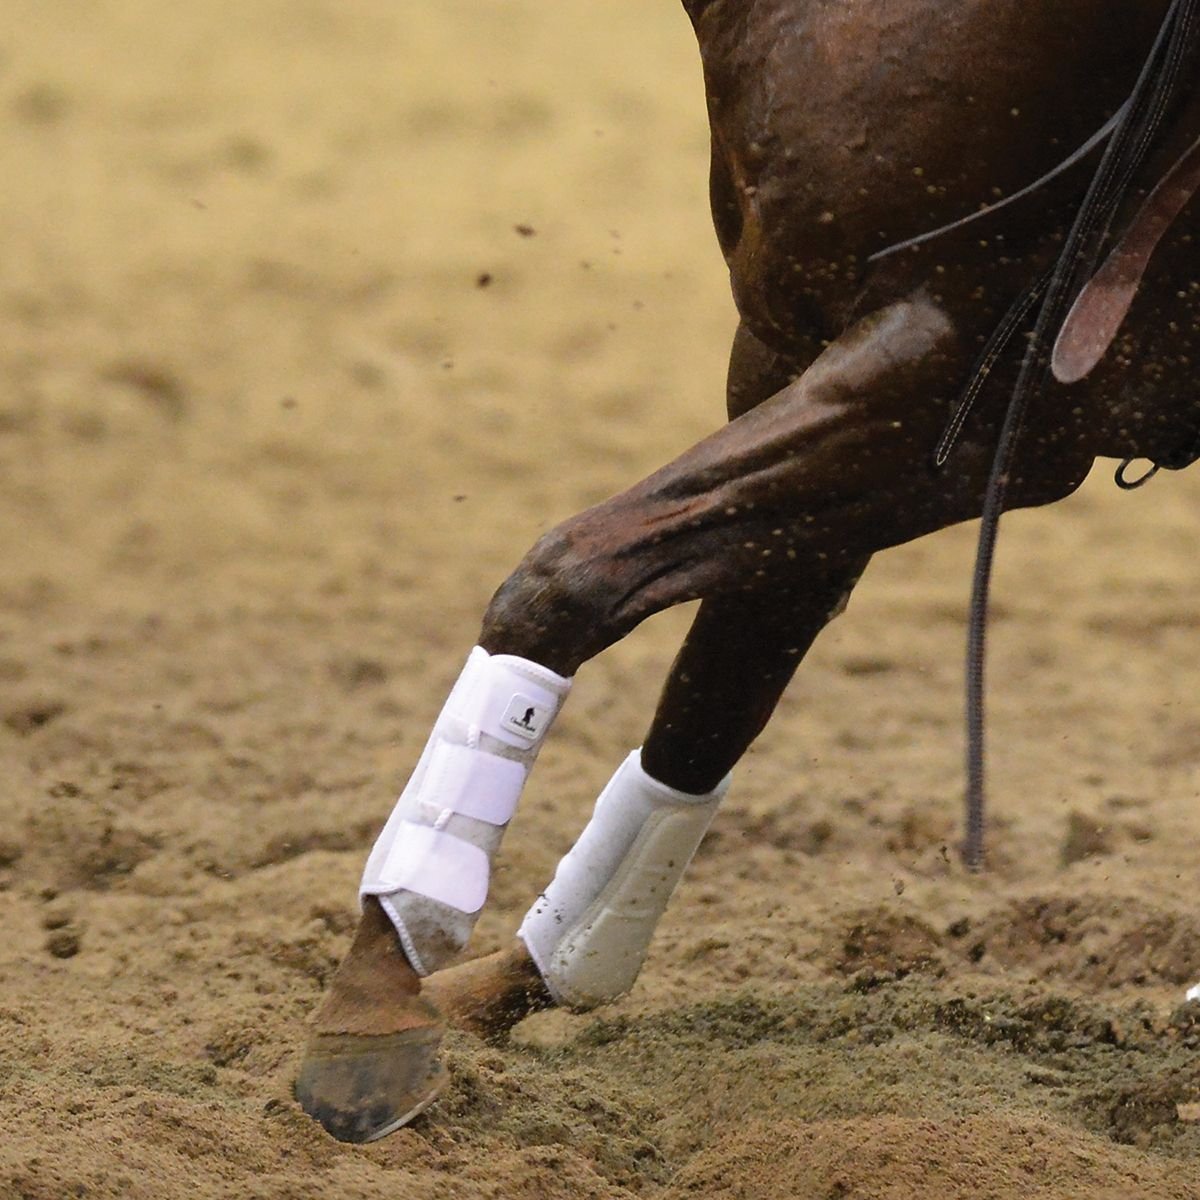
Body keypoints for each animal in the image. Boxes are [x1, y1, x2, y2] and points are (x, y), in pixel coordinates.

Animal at [295, 0, 1200, 1142]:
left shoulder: (948, 375)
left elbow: (560, 584)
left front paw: (375, 1001)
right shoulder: (817, 368)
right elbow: (705, 703)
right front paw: (516, 978)